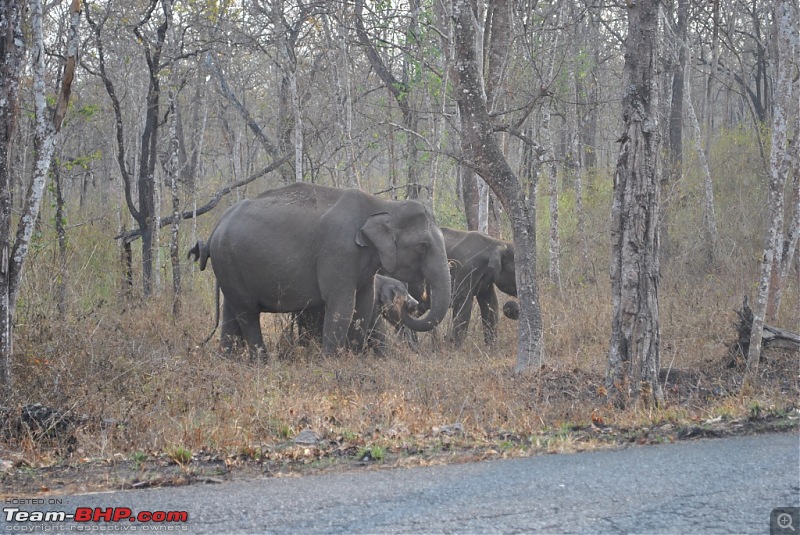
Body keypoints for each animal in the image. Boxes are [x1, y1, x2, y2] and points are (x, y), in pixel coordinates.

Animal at [188, 183, 450, 356]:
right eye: (423, 246)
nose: (410, 305)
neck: (383, 205)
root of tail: (215, 228)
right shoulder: (338, 252)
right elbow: (342, 305)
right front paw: (331, 363)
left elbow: (363, 306)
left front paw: (356, 360)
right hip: (229, 262)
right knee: (247, 313)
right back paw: (260, 362)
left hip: (229, 267)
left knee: (232, 311)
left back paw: (228, 360)